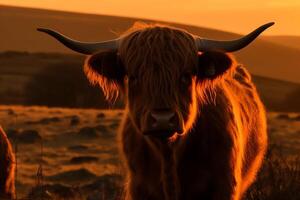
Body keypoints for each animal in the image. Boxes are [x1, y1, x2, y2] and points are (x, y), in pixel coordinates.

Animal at [38, 21, 274, 199]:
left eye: (186, 76)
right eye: (134, 77)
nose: (162, 119)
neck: (168, 155)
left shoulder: (223, 186)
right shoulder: (139, 188)